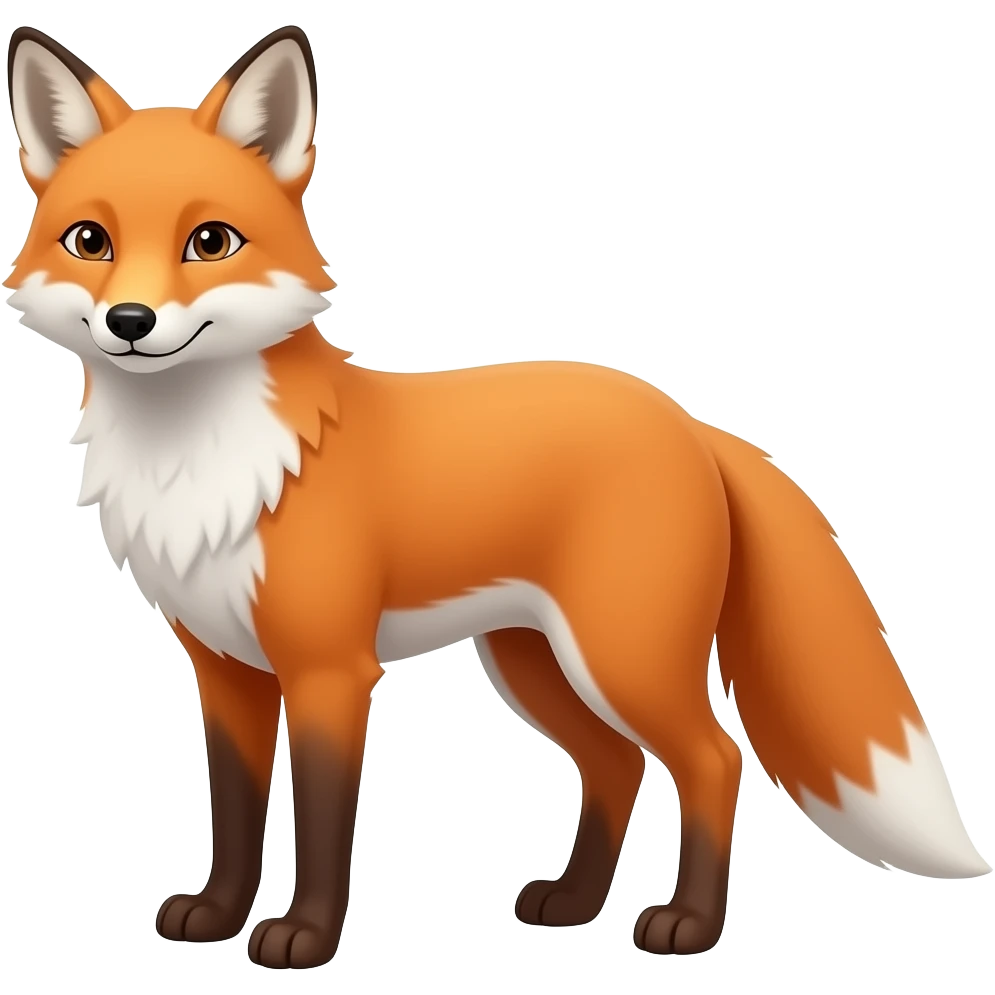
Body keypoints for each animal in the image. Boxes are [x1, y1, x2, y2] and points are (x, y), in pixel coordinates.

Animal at [4, 23, 990, 971]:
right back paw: (573, 903)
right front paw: (215, 916)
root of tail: (689, 421)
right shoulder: (226, 671)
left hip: (620, 655)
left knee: (711, 758)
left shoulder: (329, 670)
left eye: (209, 241)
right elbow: (237, 814)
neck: (205, 461)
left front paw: (304, 939)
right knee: (617, 764)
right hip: (534, 662)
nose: (131, 323)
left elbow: (321, 821)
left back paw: (687, 925)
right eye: (89, 241)